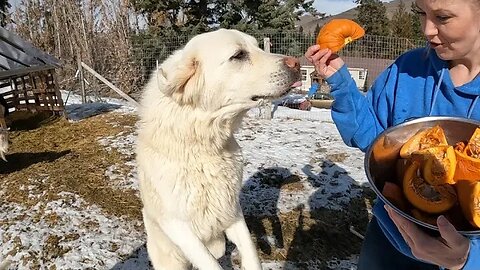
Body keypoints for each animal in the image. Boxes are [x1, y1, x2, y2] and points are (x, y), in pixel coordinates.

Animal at [135, 28, 300, 268]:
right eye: (238, 55)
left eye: (257, 46)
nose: (297, 63)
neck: (203, 146)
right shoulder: (178, 226)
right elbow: (209, 263)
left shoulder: (231, 209)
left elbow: (251, 252)